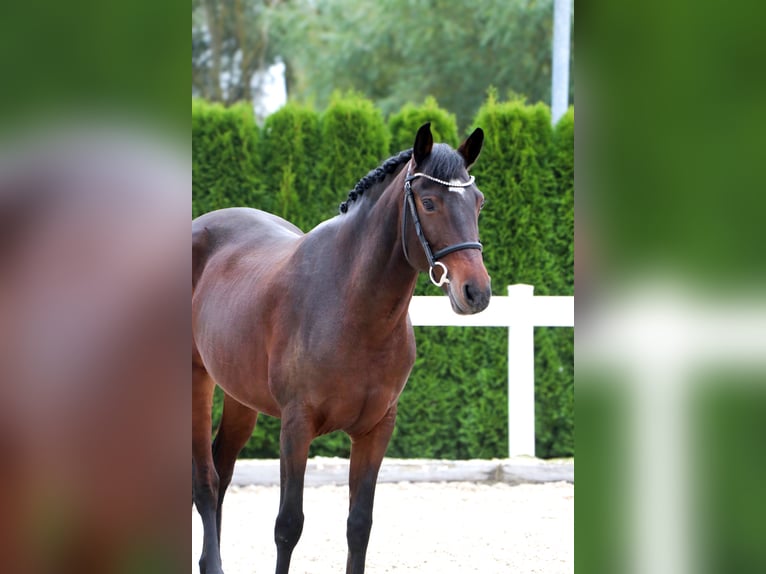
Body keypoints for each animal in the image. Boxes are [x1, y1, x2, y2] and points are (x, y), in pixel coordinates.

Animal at [192, 122, 492, 574]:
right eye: (429, 202)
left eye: (478, 202)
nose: (476, 292)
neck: (352, 307)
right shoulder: (296, 427)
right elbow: (288, 525)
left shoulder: (376, 429)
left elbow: (359, 525)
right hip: (196, 383)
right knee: (206, 481)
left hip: (239, 395)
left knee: (223, 468)